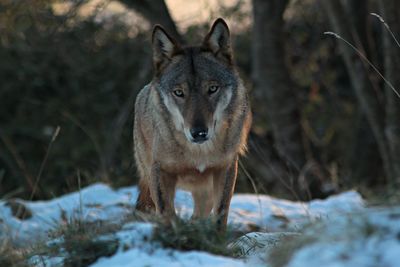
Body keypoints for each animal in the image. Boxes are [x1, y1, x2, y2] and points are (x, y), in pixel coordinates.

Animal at [136, 17, 252, 229]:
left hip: (205, 192)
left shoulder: (226, 168)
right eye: (179, 92)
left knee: (198, 216)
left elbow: (220, 215)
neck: (198, 152)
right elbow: (167, 215)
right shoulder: (160, 172)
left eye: (212, 89)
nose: (199, 132)